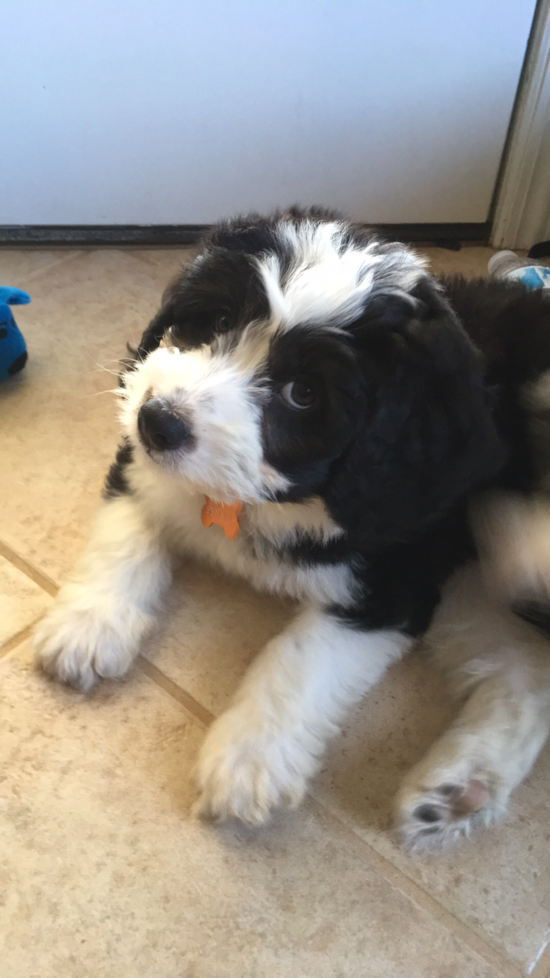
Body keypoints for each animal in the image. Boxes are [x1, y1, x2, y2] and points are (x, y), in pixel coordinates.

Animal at [33, 208, 550, 848]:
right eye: (220, 321)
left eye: (303, 393)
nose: (159, 422)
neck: (263, 498)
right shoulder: (141, 467)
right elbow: (126, 534)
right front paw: (88, 627)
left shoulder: (391, 582)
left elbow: (302, 657)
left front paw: (248, 761)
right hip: (470, 591)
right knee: (525, 675)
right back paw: (457, 791)